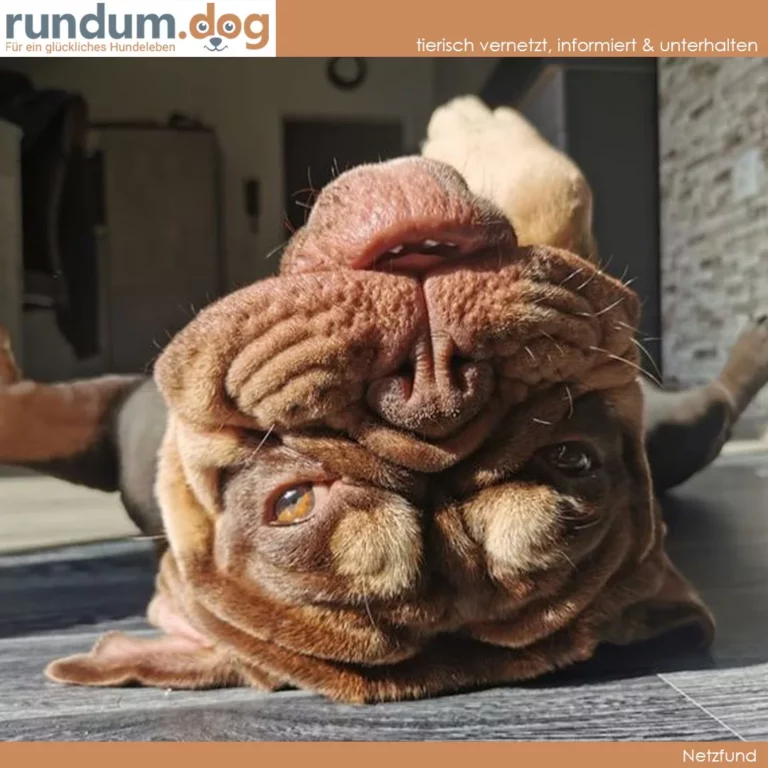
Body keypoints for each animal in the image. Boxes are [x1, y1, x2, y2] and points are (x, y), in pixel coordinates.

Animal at [3, 97, 768, 703]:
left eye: (570, 460)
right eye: (293, 503)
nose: (431, 381)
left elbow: (553, 189)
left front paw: (478, 125)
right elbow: (26, 415)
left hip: (685, 422)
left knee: (719, 403)